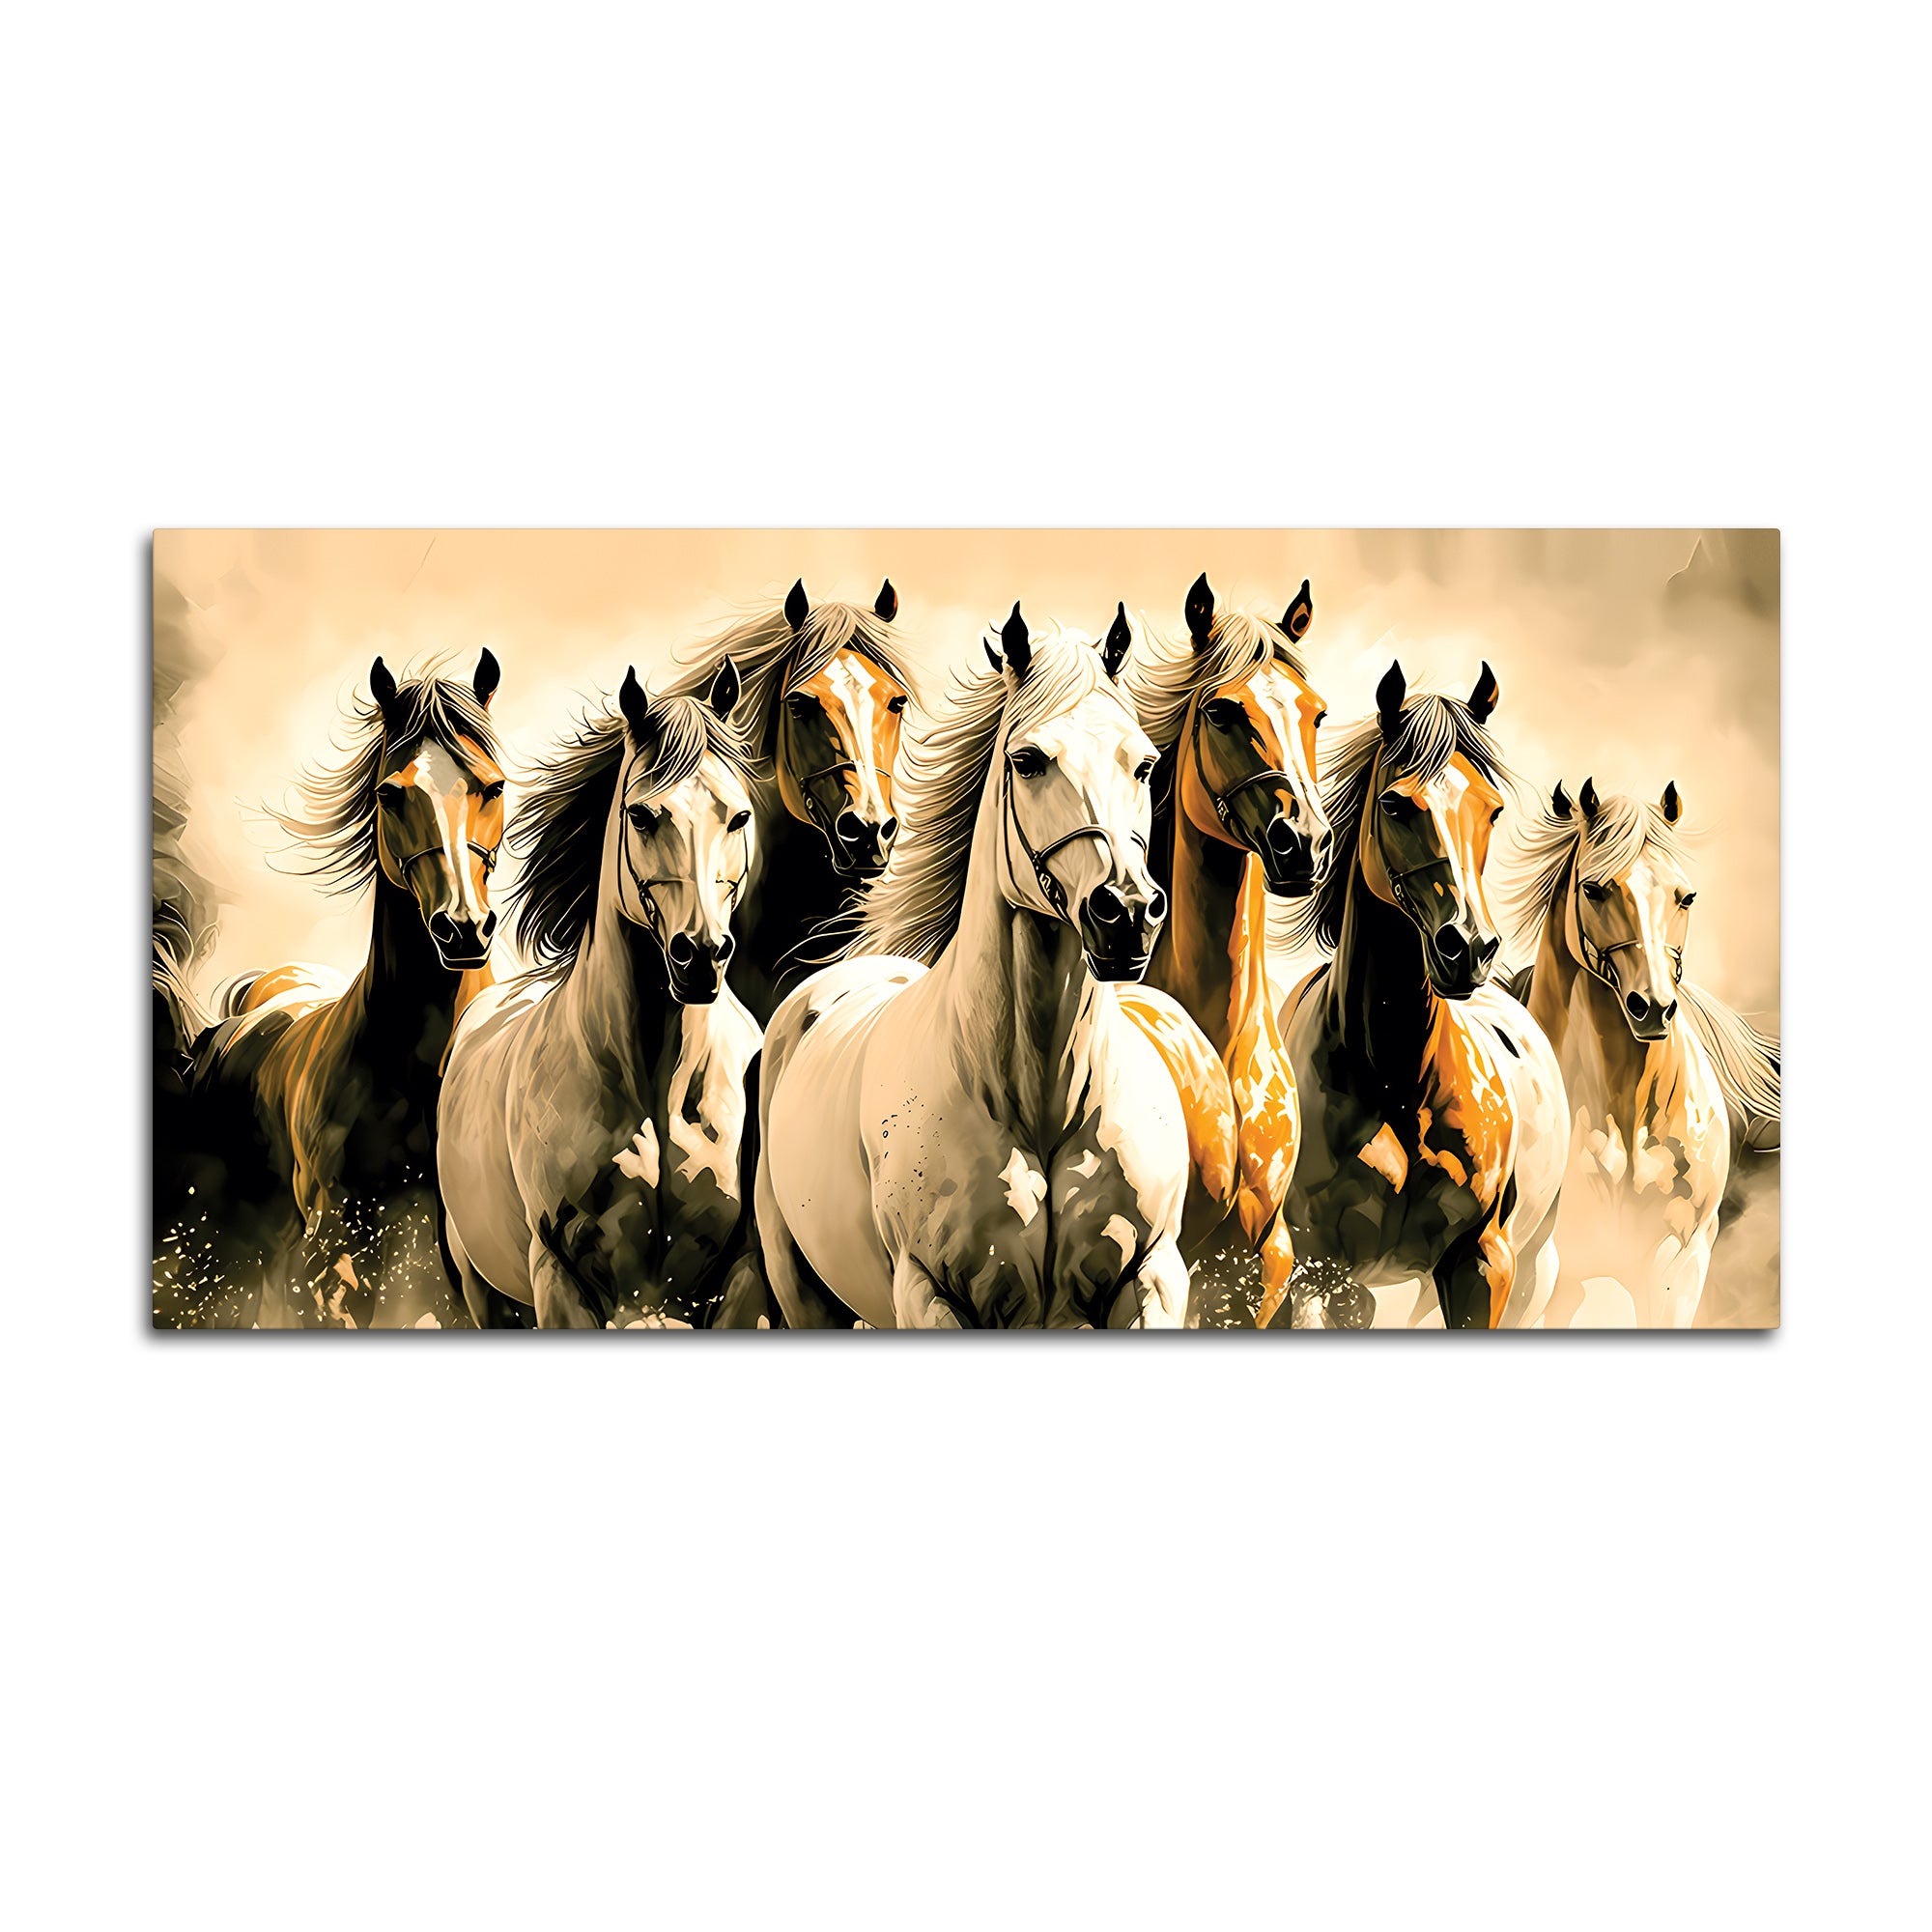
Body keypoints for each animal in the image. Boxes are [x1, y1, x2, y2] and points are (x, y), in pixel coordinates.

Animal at [436, 660, 768, 1329]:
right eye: (642, 816)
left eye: (739, 815)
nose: (700, 955)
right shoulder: (562, 1278)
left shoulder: (739, 1279)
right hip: (484, 1290)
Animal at [753, 605, 1233, 1328]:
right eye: (1027, 761)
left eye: (1144, 765)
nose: (1126, 911)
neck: (1040, 1103)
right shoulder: (930, 1292)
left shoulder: (1152, 1276)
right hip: (803, 1291)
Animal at [1272, 662, 1568, 1330]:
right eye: (1395, 803)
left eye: (1493, 810)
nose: (1470, 948)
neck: (1398, 1077)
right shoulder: (1318, 1271)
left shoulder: (1483, 1265)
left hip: (1533, 1274)